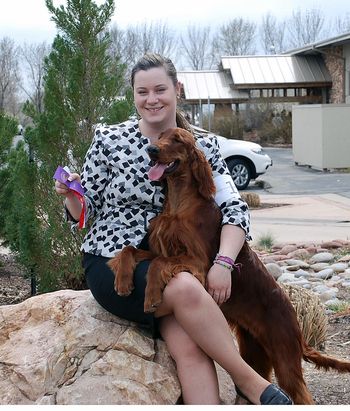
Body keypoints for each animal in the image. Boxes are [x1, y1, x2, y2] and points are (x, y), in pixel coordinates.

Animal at [108, 129, 348, 406]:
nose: (151, 150)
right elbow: (129, 250)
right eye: (160, 136)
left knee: (302, 395)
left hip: (284, 357)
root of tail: (296, 321)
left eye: (177, 139)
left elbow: (158, 264)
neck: (180, 202)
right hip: (254, 353)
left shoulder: (199, 262)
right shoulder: (160, 248)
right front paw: (122, 281)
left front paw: (151, 297)